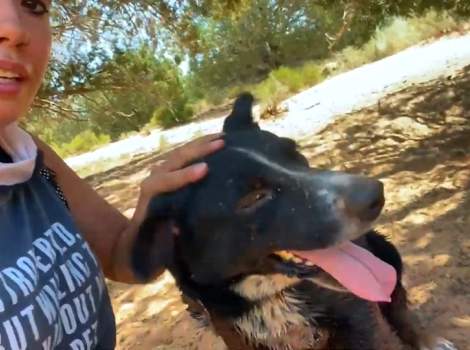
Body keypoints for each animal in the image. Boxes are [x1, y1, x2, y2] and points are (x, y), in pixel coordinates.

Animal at [130, 91, 458, 348]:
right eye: (253, 198)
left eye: (294, 152)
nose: (375, 195)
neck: (270, 295)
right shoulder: (238, 338)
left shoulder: (357, 318)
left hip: (386, 252)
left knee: (397, 303)